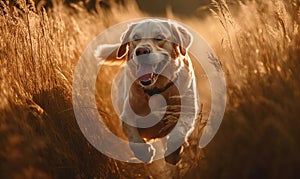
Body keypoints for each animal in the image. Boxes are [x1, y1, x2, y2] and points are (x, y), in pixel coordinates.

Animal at [95, 18, 198, 164]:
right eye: (136, 38)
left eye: (159, 38)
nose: (142, 50)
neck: (155, 90)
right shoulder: (127, 116)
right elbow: (134, 139)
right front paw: (146, 152)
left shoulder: (187, 112)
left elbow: (179, 133)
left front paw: (173, 154)